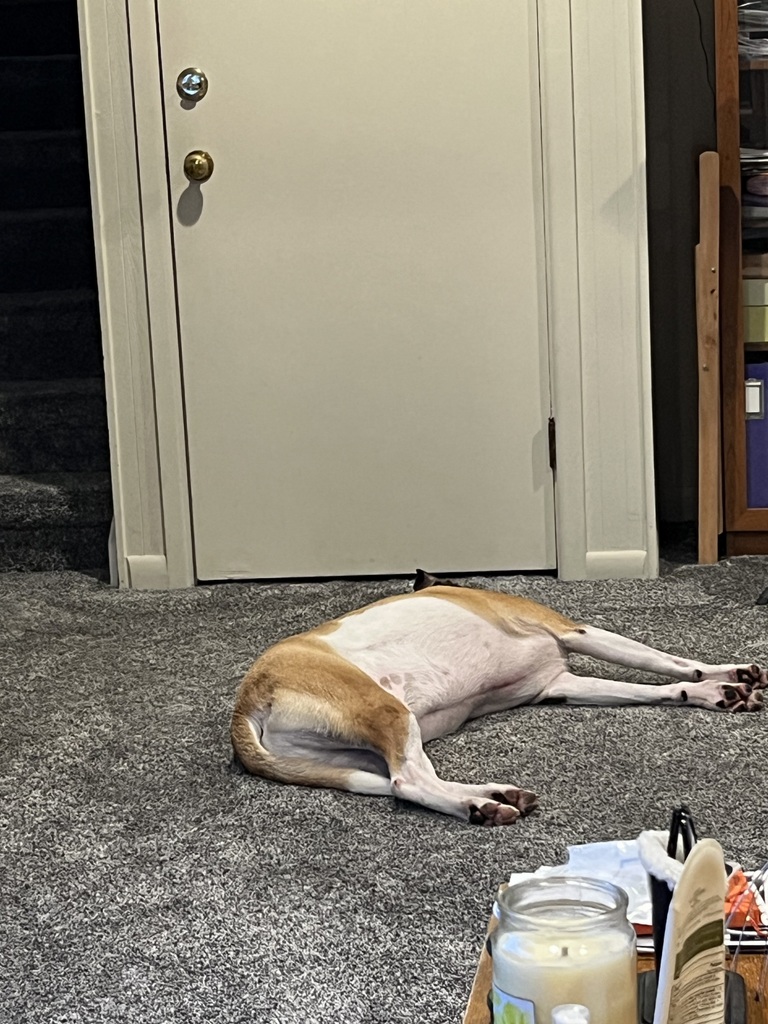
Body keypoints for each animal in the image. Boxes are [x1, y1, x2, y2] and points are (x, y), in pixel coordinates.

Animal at [231, 570, 766, 826]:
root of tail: (244, 708)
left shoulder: (559, 686)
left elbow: (652, 688)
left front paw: (710, 692)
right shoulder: (575, 631)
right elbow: (665, 660)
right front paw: (723, 677)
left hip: (357, 751)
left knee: (403, 781)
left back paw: (492, 797)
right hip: (389, 711)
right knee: (409, 781)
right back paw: (481, 805)